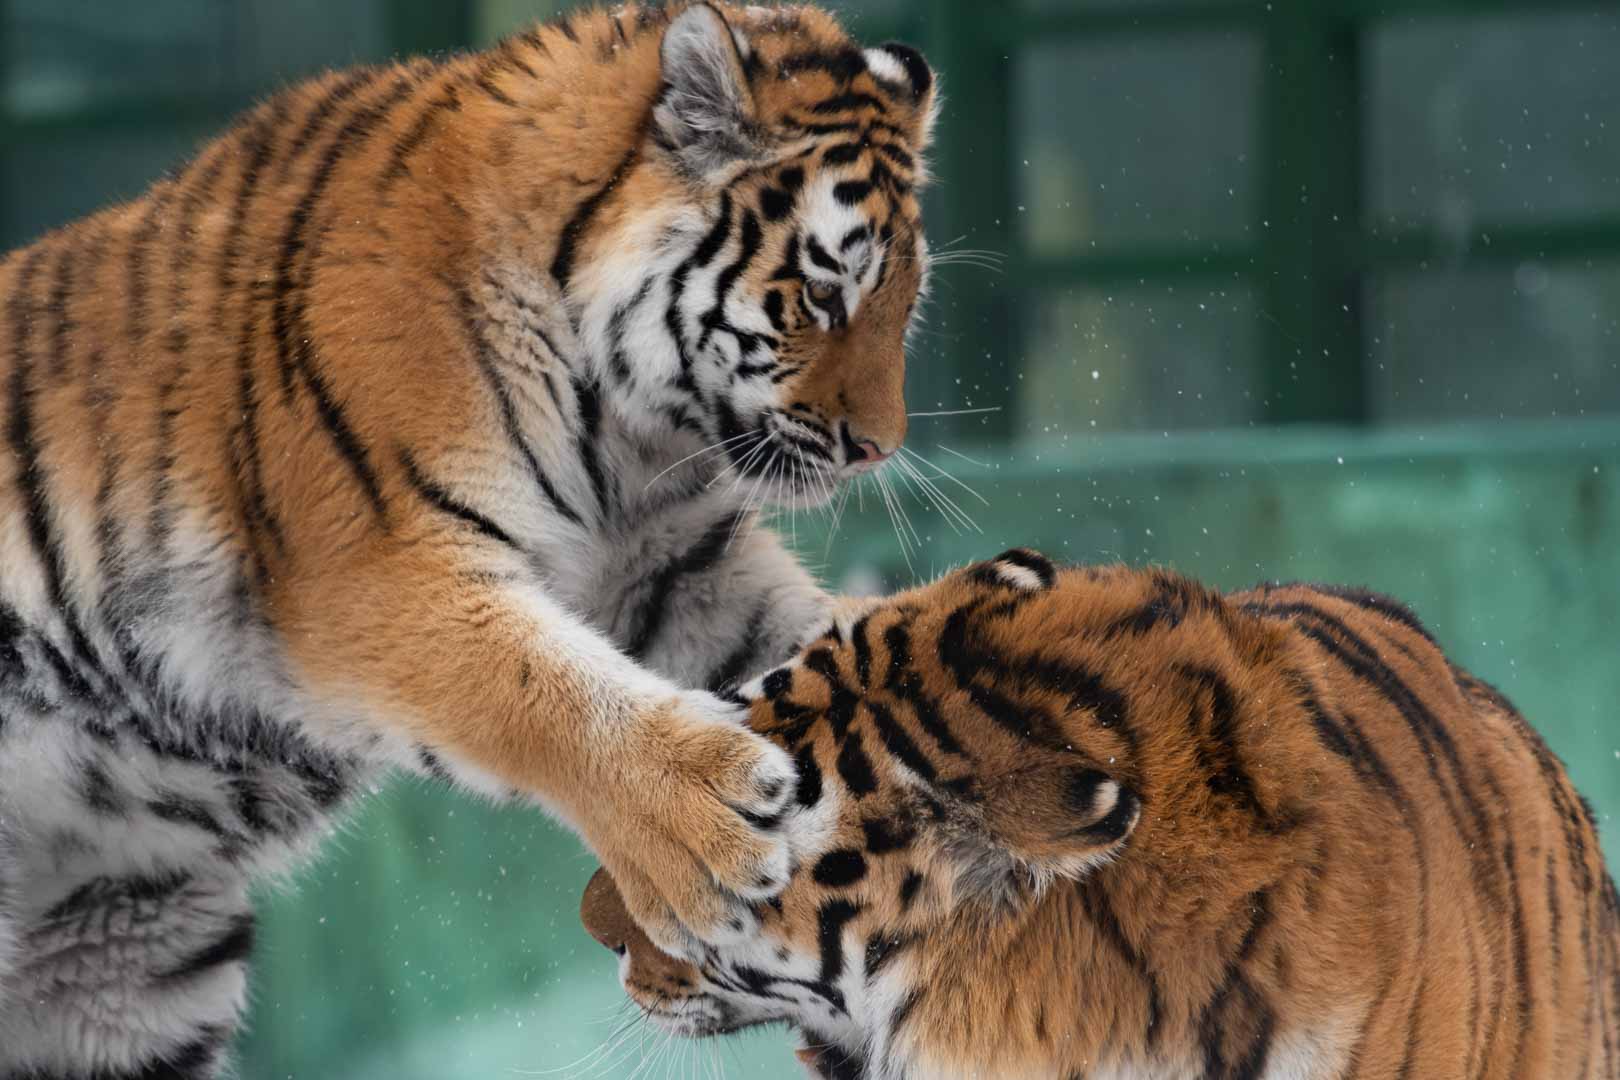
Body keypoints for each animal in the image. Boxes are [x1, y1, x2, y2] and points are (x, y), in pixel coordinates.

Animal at [0, 3, 937, 1075]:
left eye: (907, 302)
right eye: (823, 295)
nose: (879, 447)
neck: (624, 429)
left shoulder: (674, 565)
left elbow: (811, 638)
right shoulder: (381, 574)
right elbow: (548, 690)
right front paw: (713, 823)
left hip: (127, 969)